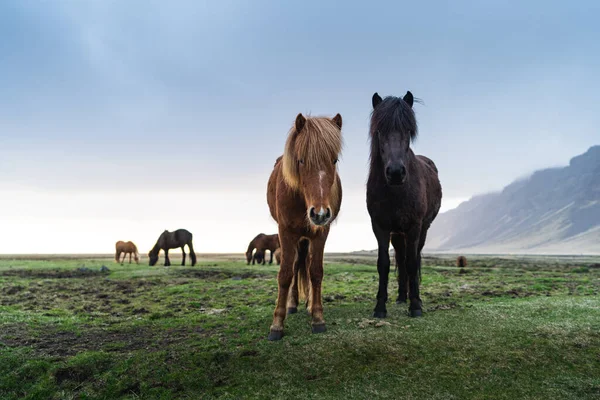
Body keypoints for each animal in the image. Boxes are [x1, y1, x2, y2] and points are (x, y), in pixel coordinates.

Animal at [266, 112, 344, 340]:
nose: (319, 213)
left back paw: (309, 304)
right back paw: (292, 304)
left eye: (334, 160)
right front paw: (277, 324)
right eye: (300, 160)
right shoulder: (285, 232)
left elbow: (315, 272)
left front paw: (317, 317)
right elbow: (285, 274)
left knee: (306, 266)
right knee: (295, 266)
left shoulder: (320, 233)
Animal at [364, 90, 442, 318]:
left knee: (412, 257)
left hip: (421, 229)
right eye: (379, 130)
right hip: (397, 234)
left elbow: (412, 262)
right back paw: (400, 297)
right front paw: (380, 306)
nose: (396, 172)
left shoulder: (414, 227)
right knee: (399, 257)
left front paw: (415, 305)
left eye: (408, 130)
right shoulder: (380, 227)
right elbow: (384, 264)